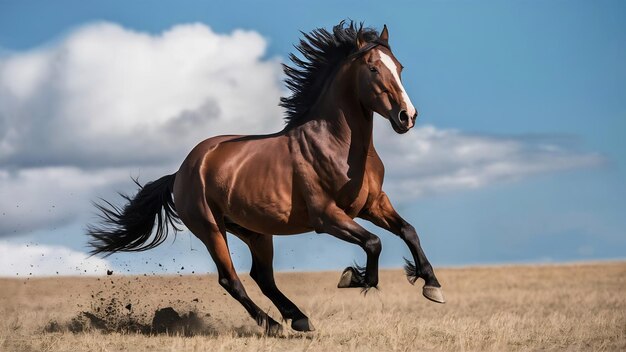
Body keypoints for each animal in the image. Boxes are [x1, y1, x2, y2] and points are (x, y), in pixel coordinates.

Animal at [89, 20, 444, 334]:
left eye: (399, 67)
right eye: (372, 69)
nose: (407, 116)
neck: (337, 146)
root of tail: (182, 170)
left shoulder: (373, 205)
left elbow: (408, 231)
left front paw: (432, 285)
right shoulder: (327, 217)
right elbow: (373, 242)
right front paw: (353, 278)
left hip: (255, 232)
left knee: (263, 277)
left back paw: (299, 318)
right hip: (210, 228)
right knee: (231, 279)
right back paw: (273, 324)